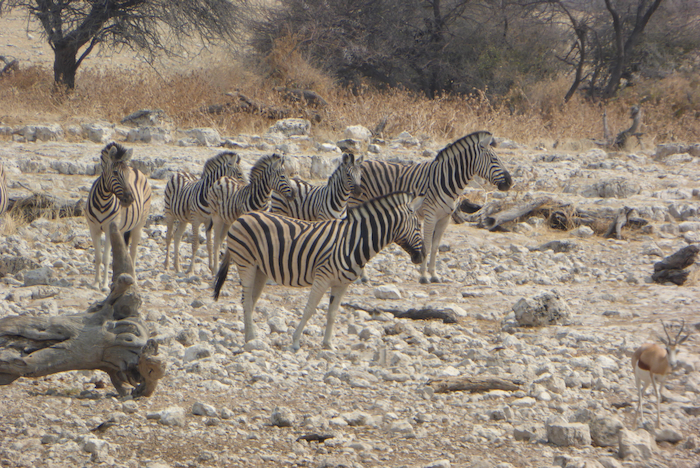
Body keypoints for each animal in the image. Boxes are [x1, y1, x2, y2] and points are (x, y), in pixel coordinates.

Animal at [85, 142, 152, 289]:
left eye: (128, 174)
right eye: (115, 173)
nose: (129, 199)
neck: (103, 201)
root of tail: (137, 169)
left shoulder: (109, 229)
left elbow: (106, 258)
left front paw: (104, 285)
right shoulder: (93, 229)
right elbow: (98, 257)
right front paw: (96, 283)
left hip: (139, 225)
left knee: (133, 252)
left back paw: (133, 279)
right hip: (121, 229)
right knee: (124, 252)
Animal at [213, 192, 425, 350]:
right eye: (418, 225)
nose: (421, 257)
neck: (353, 242)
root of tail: (243, 216)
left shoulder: (342, 284)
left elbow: (332, 314)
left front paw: (328, 344)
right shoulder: (323, 277)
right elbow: (309, 309)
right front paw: (295, 341)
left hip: (260, 270)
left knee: (250, 300)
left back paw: (251, 336)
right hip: (246, 263)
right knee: (246, 300)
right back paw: (251, 338)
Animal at [349, 131, 512, 284]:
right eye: (494, 160)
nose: (510, 182)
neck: (446, 180)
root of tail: (360, 163)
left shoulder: (444, 218)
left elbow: (435, 247)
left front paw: (434, 275)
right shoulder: (430, 216)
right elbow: (426, 245)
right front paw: (423, 276)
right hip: (356, 203)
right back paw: (362, 276)